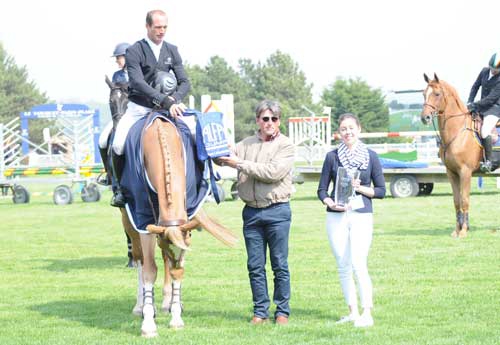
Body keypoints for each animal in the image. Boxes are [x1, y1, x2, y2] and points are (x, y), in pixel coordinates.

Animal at [420, 73, 482, 238]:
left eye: (437, 94)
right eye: (424, 94)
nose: (425, 118)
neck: (458, 132)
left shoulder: (465, 172)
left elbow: (465, 200)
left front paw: (464, 231)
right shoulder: (452, 173)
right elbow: (456, 201)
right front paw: (457, 230)